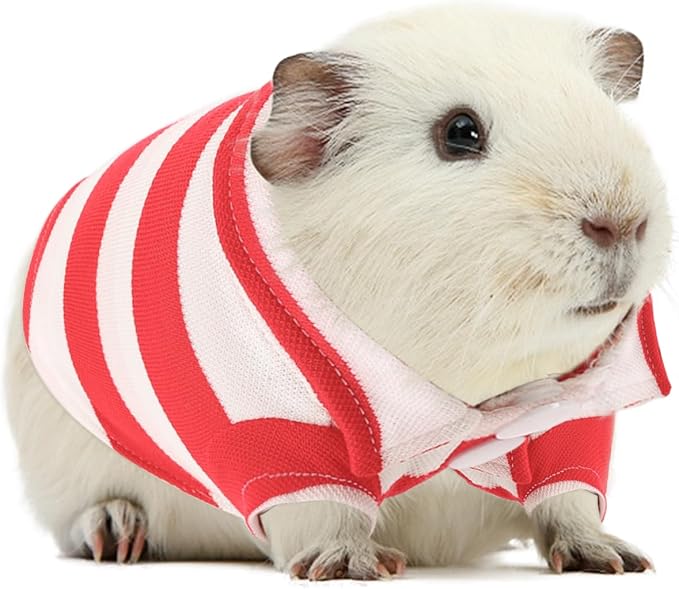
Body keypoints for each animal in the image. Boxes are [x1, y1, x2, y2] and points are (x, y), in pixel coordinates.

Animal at [4, 3, 670, 581]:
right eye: (460, 132)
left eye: (603, 111)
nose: (621, 221)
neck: (469, 402)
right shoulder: (271, 436)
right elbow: (325, 509)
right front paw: (355, 565)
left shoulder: (571, 420)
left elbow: (569, 498)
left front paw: (615, 559)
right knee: (90, 512)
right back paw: (117, 533)